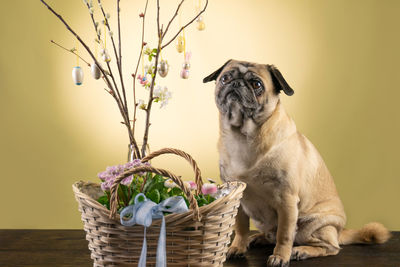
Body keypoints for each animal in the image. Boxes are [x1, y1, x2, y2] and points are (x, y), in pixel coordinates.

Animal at [203, 59, 390, 267]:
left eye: (256, 84)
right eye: (225, 78)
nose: (235, 83)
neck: (244, 137)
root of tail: (340, 231)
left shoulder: (287, 200)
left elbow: (284, 234)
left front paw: (280, 257)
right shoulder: (238, 197)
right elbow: (241, 228)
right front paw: (238, 247)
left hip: (311, 224)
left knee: (330, 247)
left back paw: (301, 251)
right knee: (271, 234)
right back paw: (258, 238)